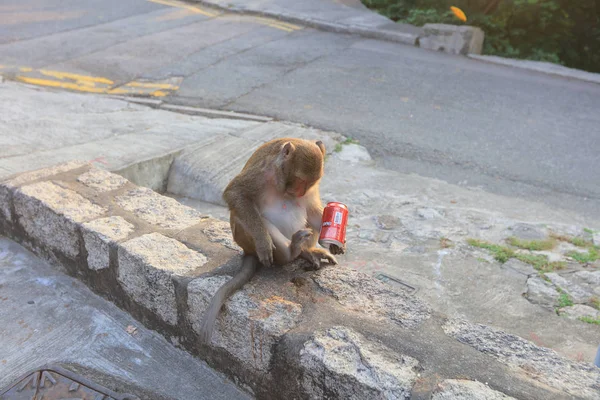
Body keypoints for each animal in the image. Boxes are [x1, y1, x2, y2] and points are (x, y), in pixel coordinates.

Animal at [199, 138, 344, 344]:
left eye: (309, 183)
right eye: (300, 180)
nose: (300, 192)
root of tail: (247, 251)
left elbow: (316, 213)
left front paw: (333, 241)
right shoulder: (261, 173)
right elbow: (235, 193)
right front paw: (263, 241)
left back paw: (306, 252)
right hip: (243, 236)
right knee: (254, 218)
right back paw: (290, 252)